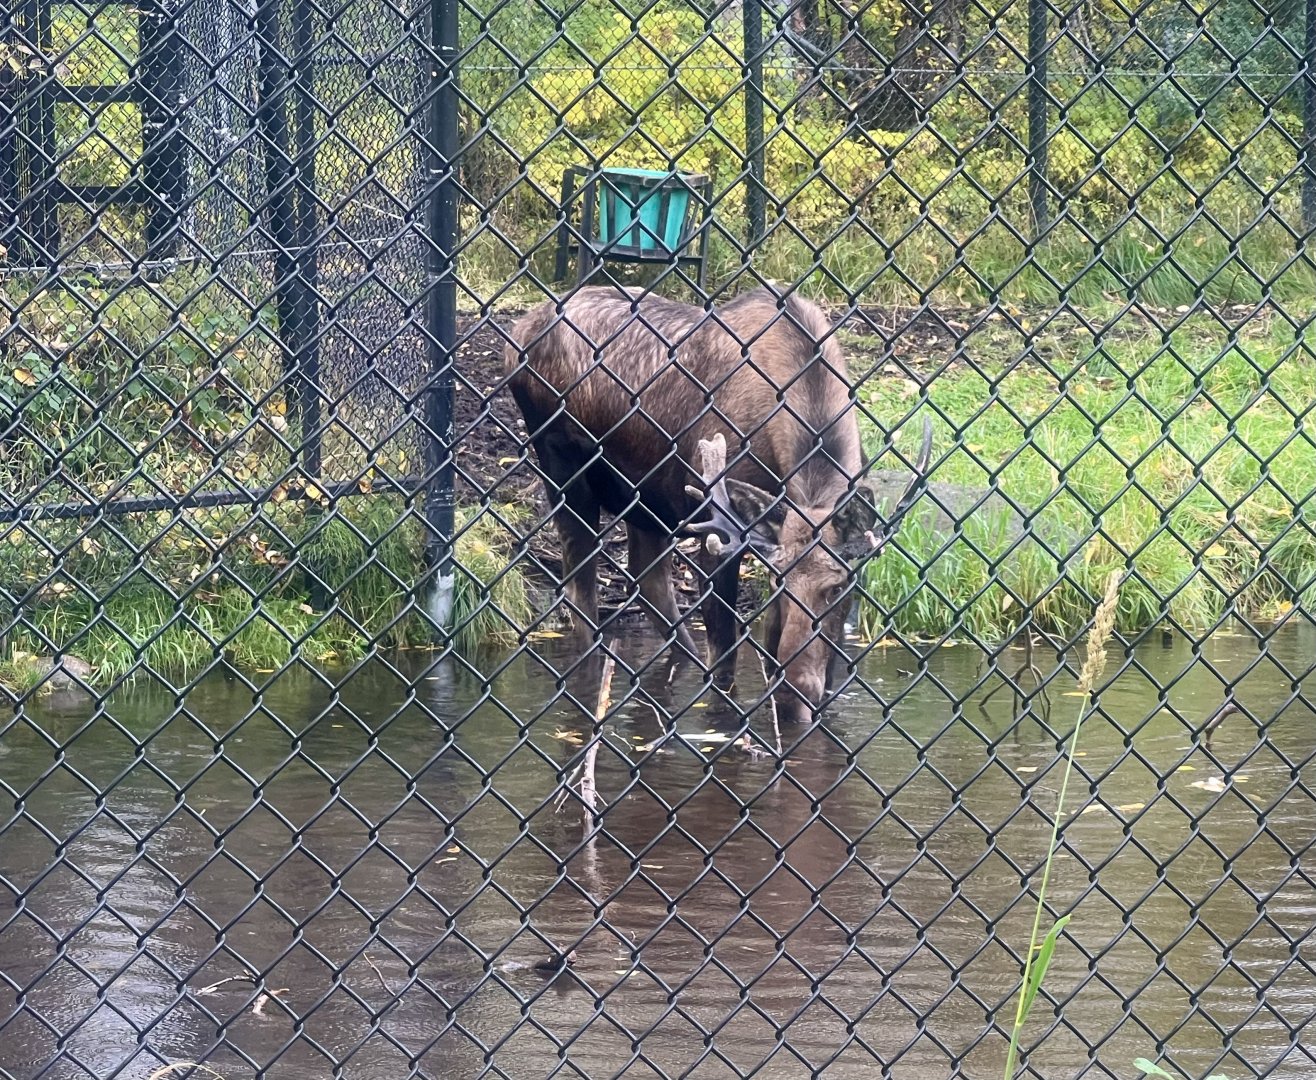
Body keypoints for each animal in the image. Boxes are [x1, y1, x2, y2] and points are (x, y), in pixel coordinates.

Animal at [505, 284, 931, 724]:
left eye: (837, 587)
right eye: (778, 584)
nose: (792, 694)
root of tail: (518, 333)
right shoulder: (721, 533)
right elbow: (725, 659)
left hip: (646, 498)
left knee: (647, 579)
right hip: (562, 466)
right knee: (581, 590)